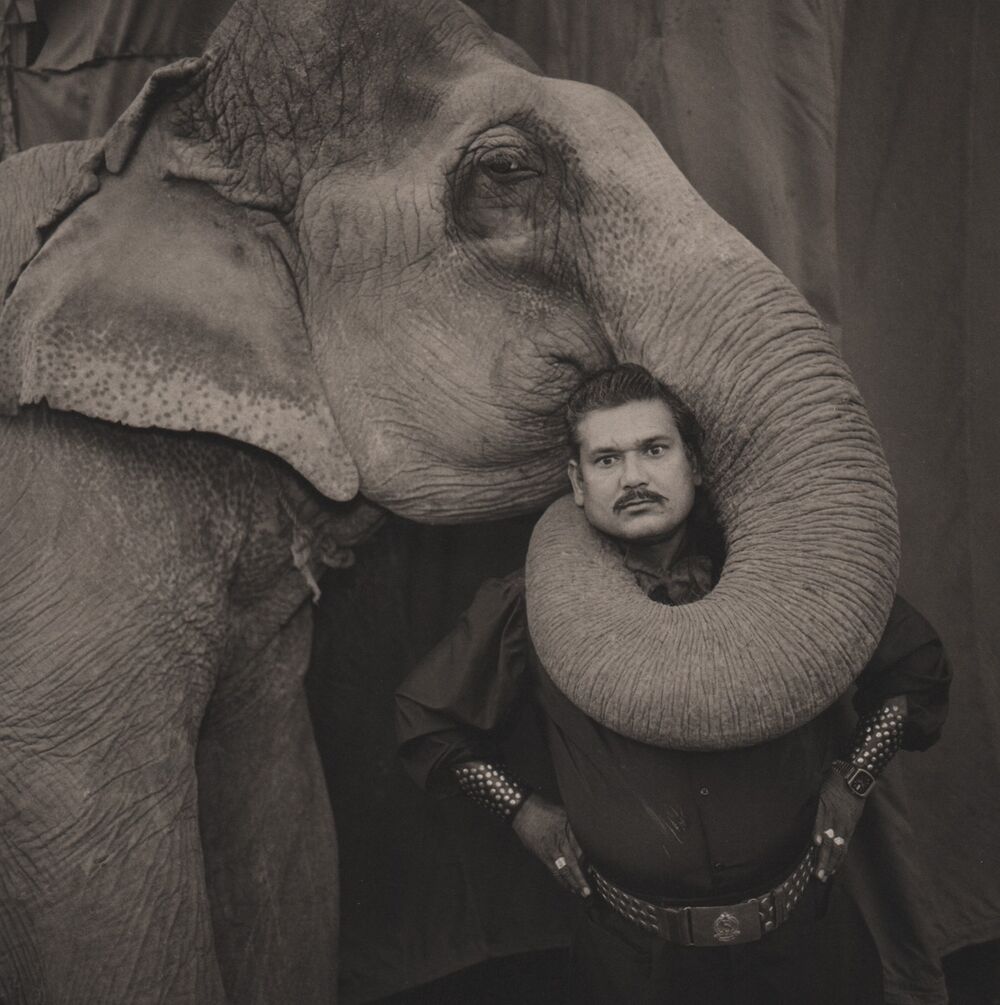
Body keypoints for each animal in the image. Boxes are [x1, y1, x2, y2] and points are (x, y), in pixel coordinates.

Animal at [0, 0, 904, 1000]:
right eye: (507, 170)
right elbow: (115, 918)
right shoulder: (61, 595)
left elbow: (286, 836)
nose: (617, 483)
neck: (128, 157)